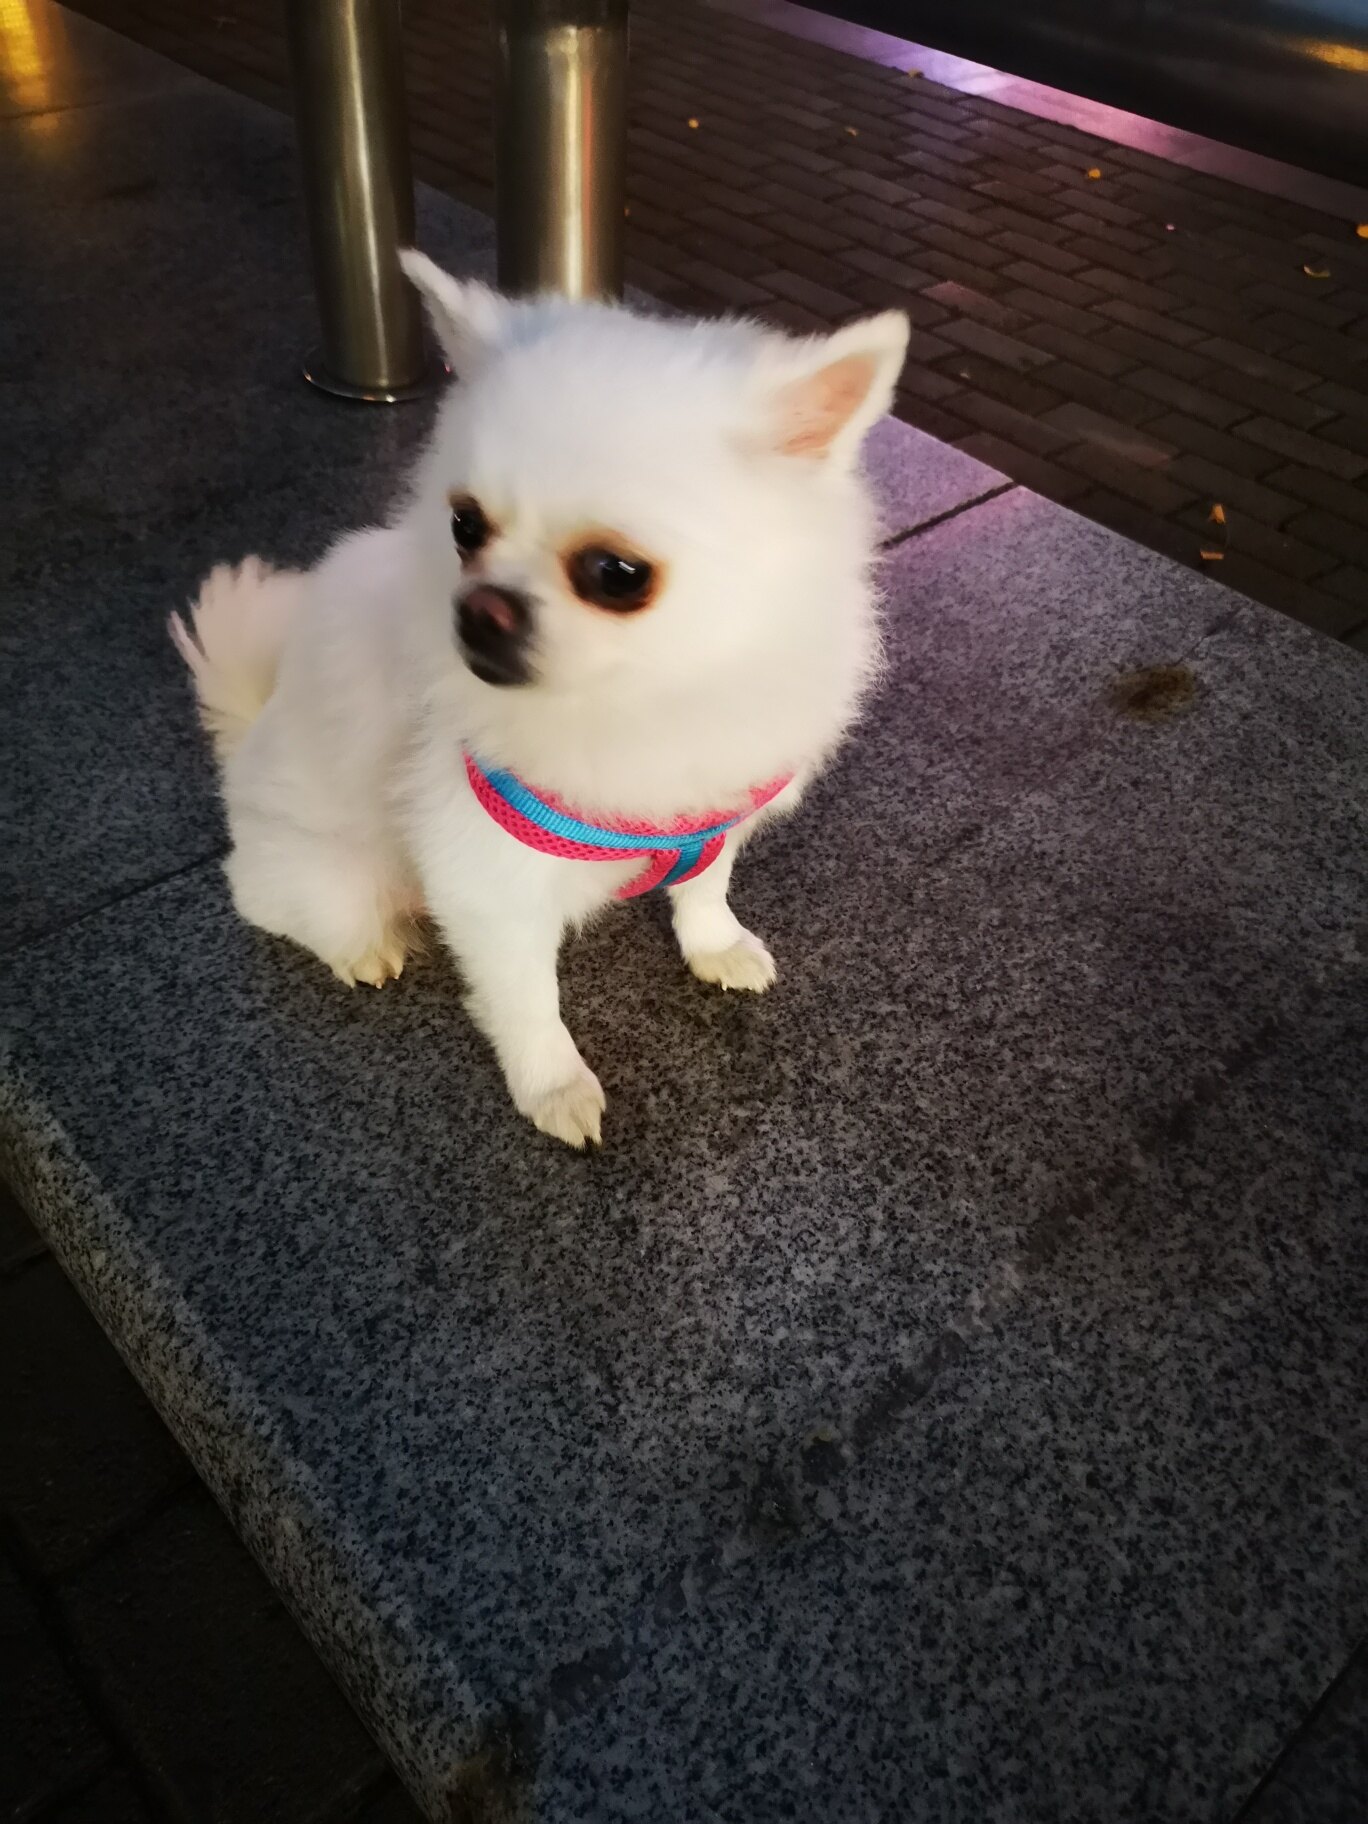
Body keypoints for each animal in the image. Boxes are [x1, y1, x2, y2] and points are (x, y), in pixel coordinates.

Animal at [171, 252, 908, 1147]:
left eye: (617, 574)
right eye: (464, 525)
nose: (479, 609)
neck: (652, 691)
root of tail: (245, 745)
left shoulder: (717, 808)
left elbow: (705, 884)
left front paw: (714, 945)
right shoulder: (487, 878)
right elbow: (528, 1004)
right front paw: (554, 1087)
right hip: (332, 881)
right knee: (279, 902)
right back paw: (364, 948)